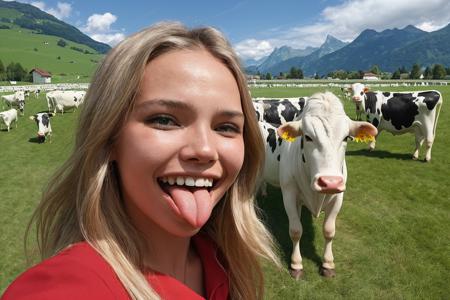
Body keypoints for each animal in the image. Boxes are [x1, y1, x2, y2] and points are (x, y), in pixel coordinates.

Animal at [258, 92, 378, 280]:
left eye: (346, 138)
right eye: (307, 137)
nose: (330, 182)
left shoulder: (338, 197)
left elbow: (329, 231)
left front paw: (328, 264)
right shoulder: (289, 194)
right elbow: (296, 230)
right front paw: (296, 265)